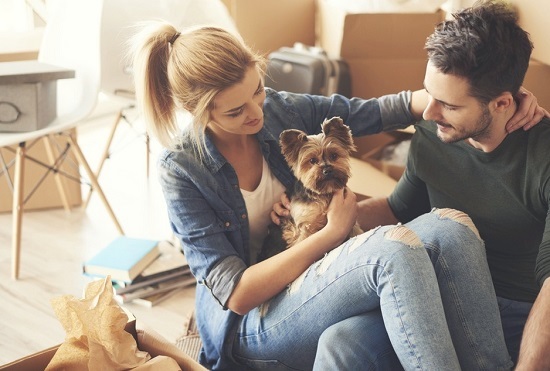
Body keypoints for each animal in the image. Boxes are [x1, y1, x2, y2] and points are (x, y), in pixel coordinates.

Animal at [278, 117, 364, 248]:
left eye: (334, 155)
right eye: (312, 160)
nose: (327, 170)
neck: (324, 193)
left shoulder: (352, 224)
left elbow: (356, 231)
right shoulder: (305, 226)